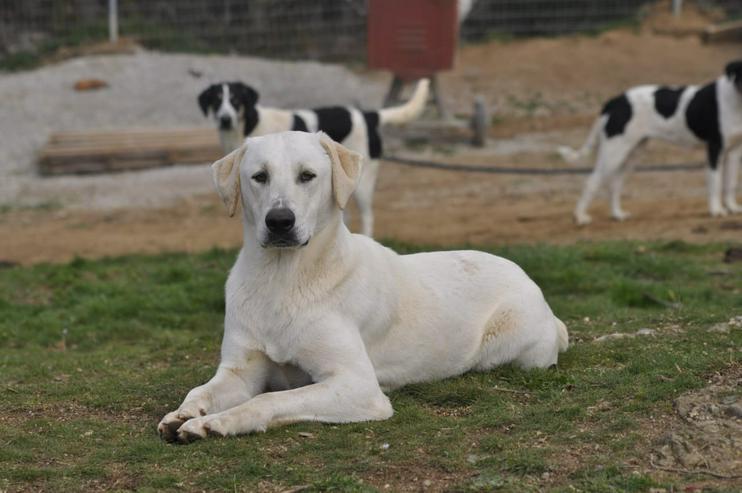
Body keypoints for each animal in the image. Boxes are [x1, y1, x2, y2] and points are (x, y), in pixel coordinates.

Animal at [158, 131, 568, 442]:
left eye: (307, 176)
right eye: (259, 176)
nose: (280, 221)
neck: (282, 279)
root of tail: (528, 279)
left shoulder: (357, 385)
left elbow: (268, 401)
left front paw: (216, 422)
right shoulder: (240, 372)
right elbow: (201, 390)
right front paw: (186, 413)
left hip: (516, 349)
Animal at [198, 79, 430, 236]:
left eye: (236, 100)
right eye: (216, 101)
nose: (225, 119)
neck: (249, 125)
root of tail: (367, 115)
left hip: (362, 183)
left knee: (367, 216)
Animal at [560, 60, 740, 227]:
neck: (735, 99)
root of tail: (615, 101)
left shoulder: (734, 152)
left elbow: (730, 183)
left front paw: (731, 207)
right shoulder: (714, 149)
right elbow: (716, 183)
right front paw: (716, 211)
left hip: (632, 153)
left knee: (615, 183)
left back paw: (617, 214)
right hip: (613, 152)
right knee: (591, 182)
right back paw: (580, 217)